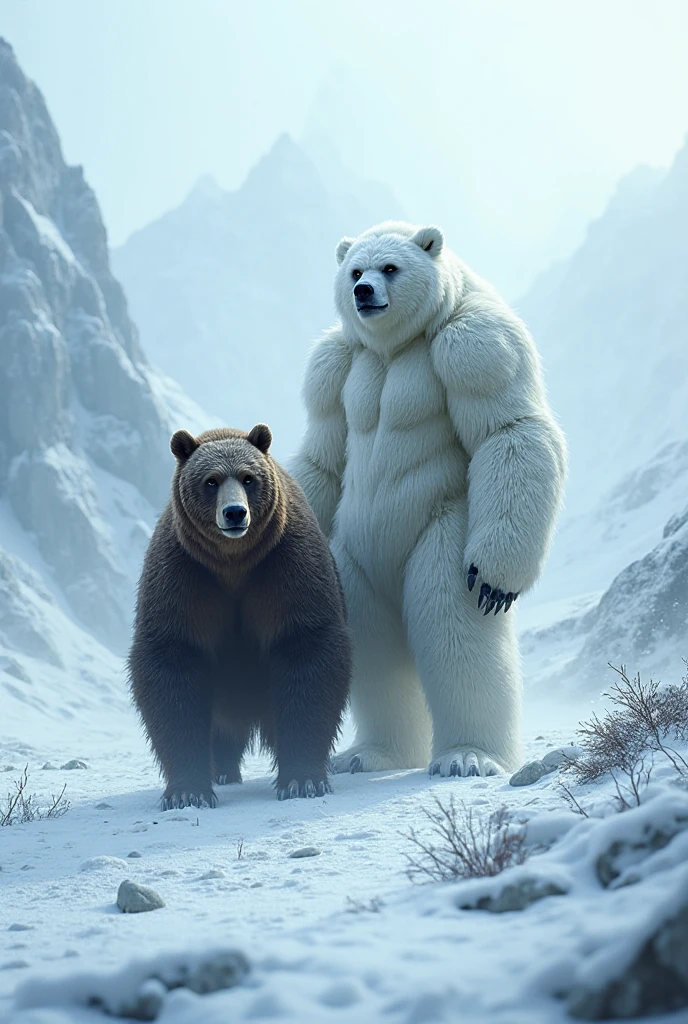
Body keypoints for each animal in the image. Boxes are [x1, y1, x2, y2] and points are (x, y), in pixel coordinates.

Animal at [128, 423, 351, 809]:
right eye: (211, 481)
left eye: (248, 478)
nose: (235, 513)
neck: (233, 563)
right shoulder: (185, 574)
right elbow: (173, 662)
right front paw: (188, 791)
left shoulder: (284, 565)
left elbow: (306, 648)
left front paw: (302, 780)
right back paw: (222, 770)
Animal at [291, 221, 566, 778]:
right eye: (355, 269)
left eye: (390, 267)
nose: (363, 292)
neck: (396, 347)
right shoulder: (334, 365)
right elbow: (323, 455)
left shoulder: (475, 345)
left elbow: (508, 429)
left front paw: (496, 581)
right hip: (348, 560)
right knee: (369, 641)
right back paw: (369, 754)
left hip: (443, 531)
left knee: (450, 622)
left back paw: (468, 756)